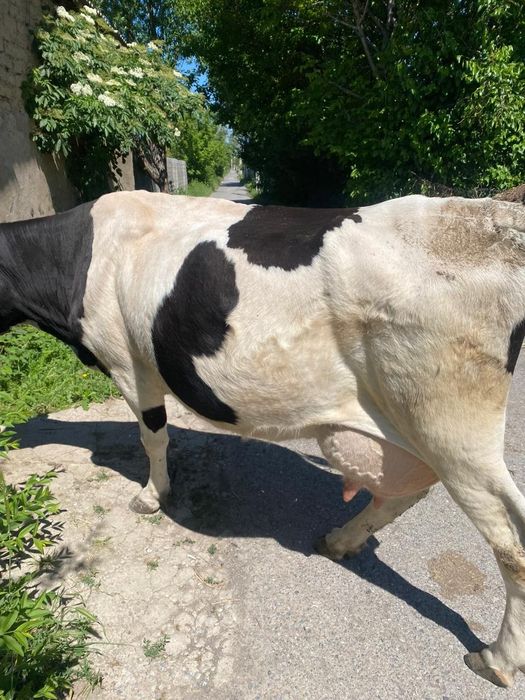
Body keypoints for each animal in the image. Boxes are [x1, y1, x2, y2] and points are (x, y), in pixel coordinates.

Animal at [1, 190, 525, 687]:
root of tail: (494, 217)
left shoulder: (130, 365)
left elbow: (153, 439)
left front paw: (152, 496)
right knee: (406, 491)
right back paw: (340, 540)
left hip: (452, 425)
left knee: (511, 543)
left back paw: (496, 660)